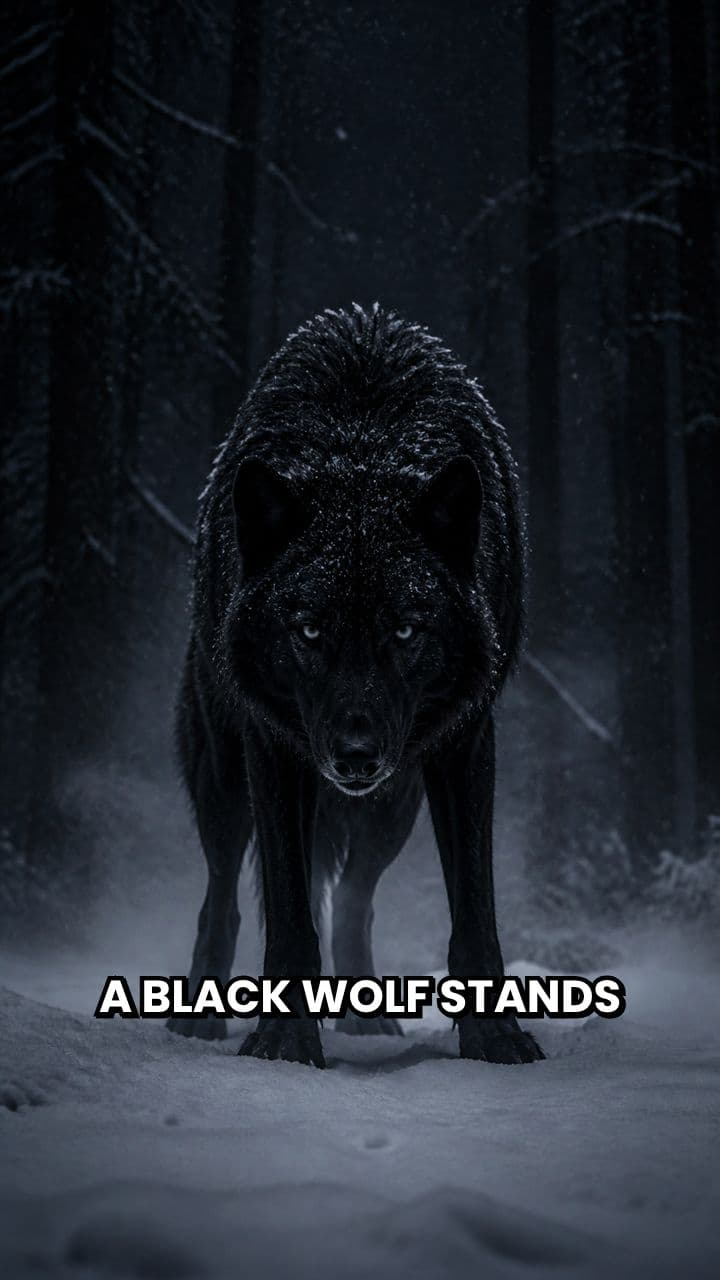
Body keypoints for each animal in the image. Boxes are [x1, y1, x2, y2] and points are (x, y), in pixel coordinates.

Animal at [168, 304, 543, 1067]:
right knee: (222, 898)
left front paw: (496, 1039)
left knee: (353, 900)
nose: (355, 756)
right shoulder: (273, 745)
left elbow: (475, 914)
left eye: (405, 630)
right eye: (310, 631)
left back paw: (364, 1017)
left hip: (391, 808)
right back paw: (199, 1018)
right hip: (225, 778)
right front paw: (284, 1043)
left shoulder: (466, 742)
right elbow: (287, 912)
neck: (364, 443)